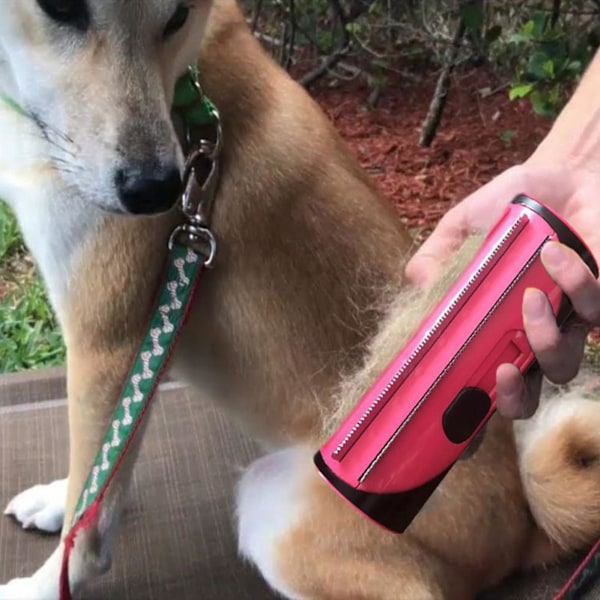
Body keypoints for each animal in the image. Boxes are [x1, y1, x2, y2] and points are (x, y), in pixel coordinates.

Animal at [1, 1, 600, 600]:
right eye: (59, 9)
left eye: (178, 16)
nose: (157, 190)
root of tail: (524, 530)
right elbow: (101, 470)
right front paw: (58, 500)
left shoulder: (108, 341)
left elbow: (91, 508)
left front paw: (48, 583)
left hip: (277, 509)